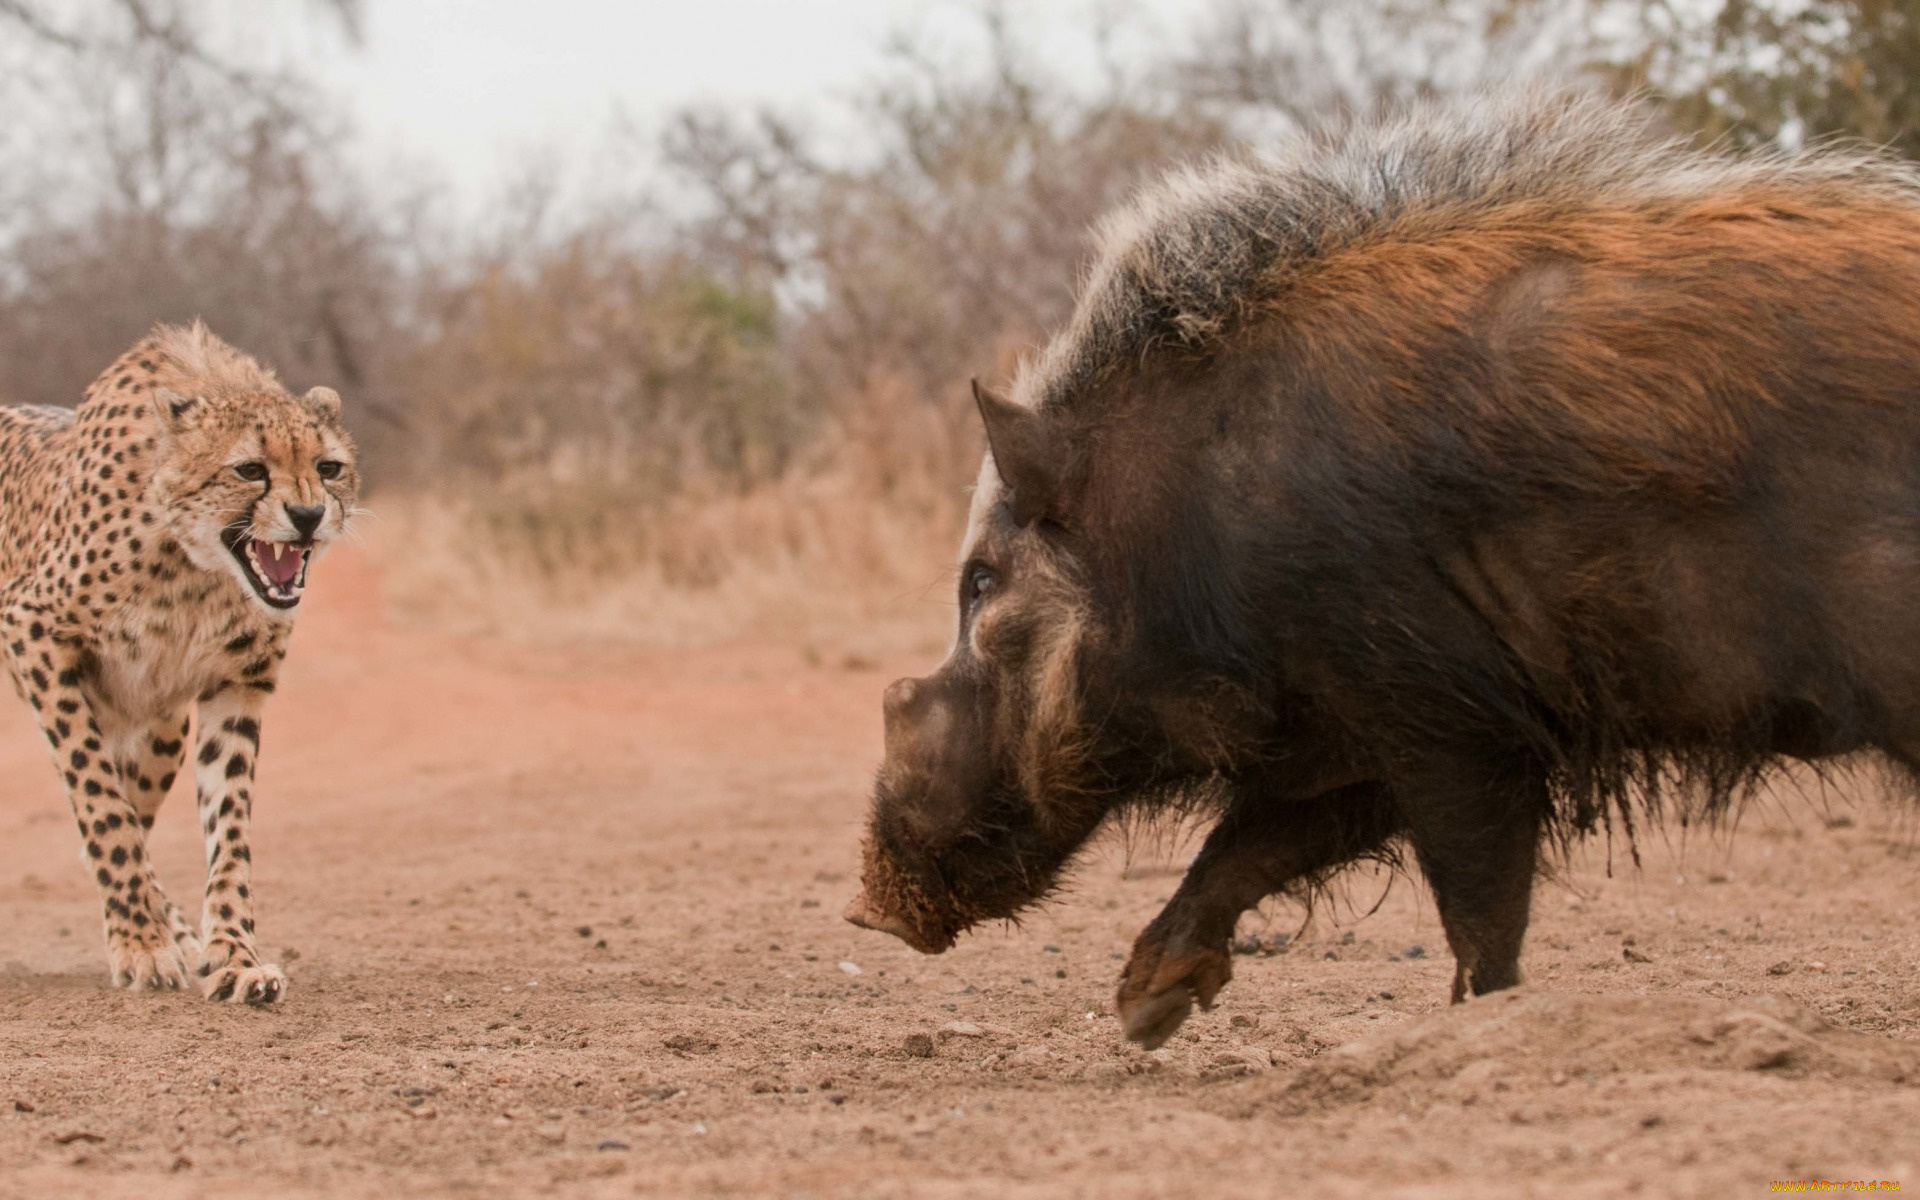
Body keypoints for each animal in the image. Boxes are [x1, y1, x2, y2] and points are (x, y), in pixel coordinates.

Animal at [0, 318, 359, 998]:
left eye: (329, 467)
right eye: (249, 469)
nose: (308, 515)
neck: (193, 566)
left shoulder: (236, 684)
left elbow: (226, 831)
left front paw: (234, 956)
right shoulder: (32, 631)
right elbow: (100, 805)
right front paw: (141, 946)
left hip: (160, 727)